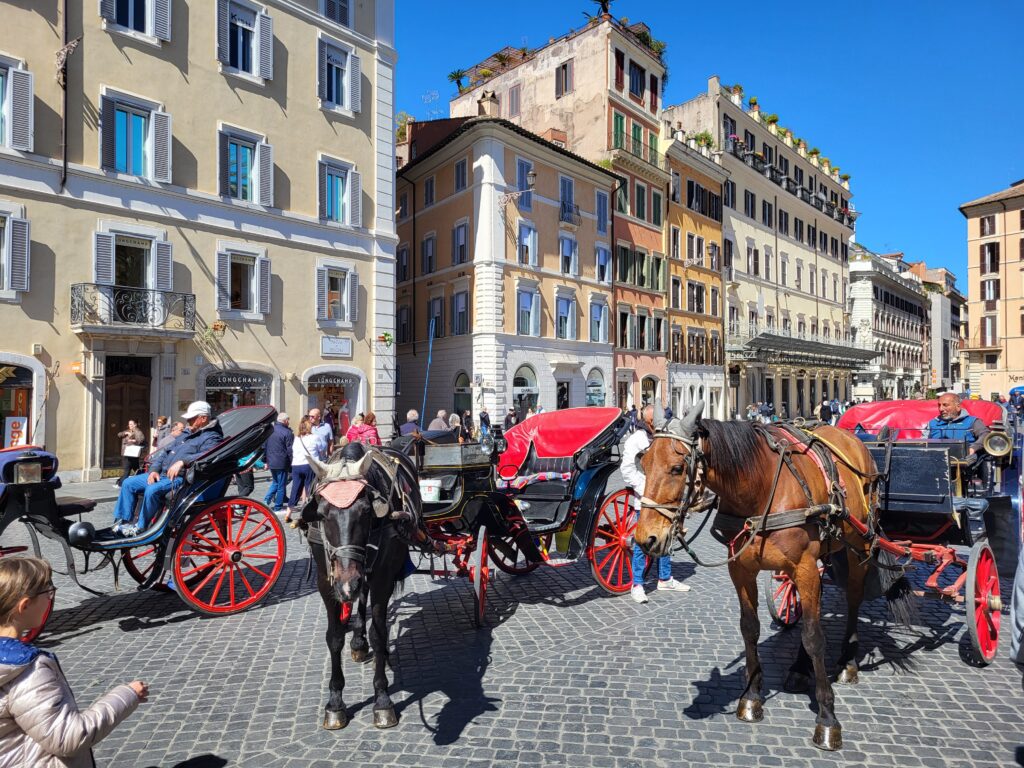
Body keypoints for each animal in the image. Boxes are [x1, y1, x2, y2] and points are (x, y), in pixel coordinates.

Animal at [301, 442, 421, 729]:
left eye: (367, 511)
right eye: (322, 514)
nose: (348, 585)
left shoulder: (382, 577)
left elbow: (379, 634)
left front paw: (383, 699)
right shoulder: (326, 582)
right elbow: (334, 637)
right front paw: (335, 703)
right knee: (360, 597)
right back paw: (357, 641)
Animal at [634, 403, 892, 753]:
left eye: (676, 468)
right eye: (643, 462)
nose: (645, 539)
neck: (760, 489)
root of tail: (853, 437)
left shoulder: (804, 565)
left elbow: (814, 636)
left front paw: (827, 718)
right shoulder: (741, 569)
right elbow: (751, 628)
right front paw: (752, 698)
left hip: (859, 544)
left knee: (852, 596)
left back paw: (848, 663)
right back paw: (799, 669)